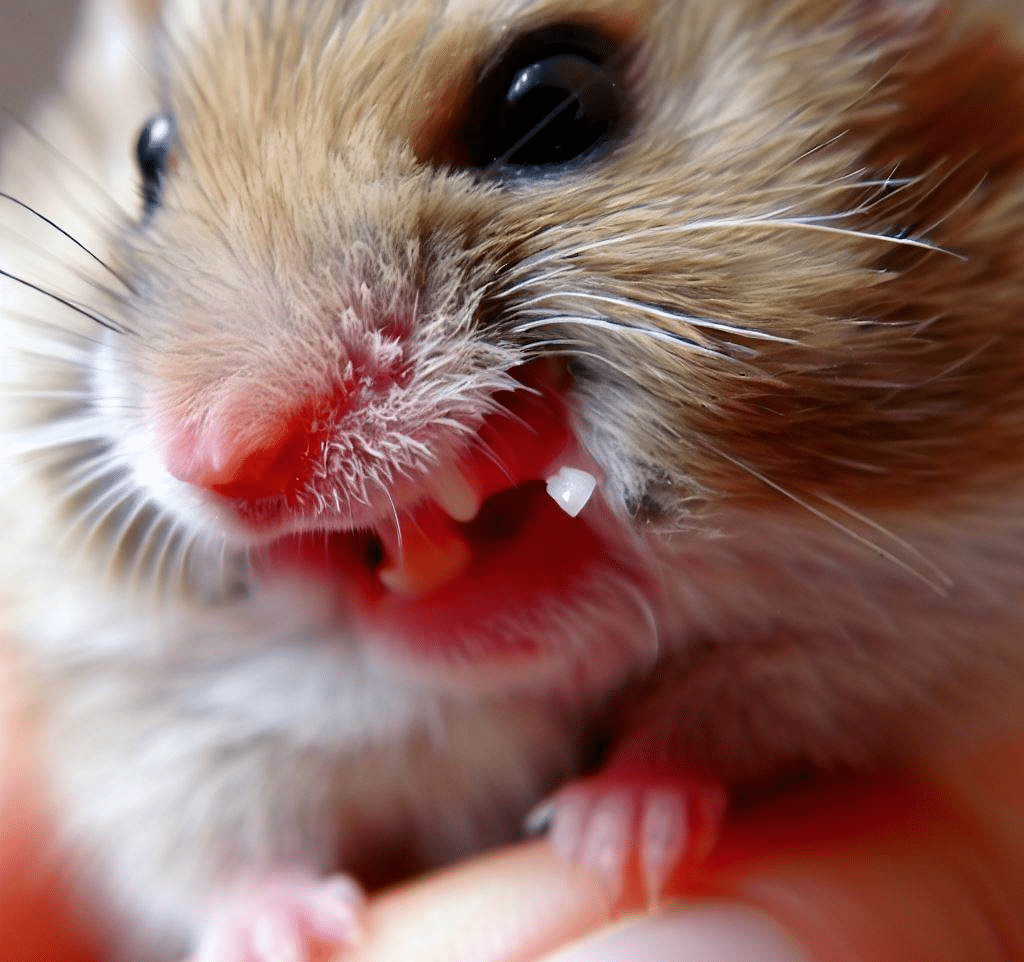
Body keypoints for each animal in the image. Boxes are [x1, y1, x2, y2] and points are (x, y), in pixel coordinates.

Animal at [2, 0, 1024, 958]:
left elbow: (715, 720)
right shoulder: (156, 742)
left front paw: (616, 851)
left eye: (554, 104)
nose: (216, 458)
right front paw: (287, 935)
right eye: (148, 152)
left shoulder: (881, 652)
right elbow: (219, 848)